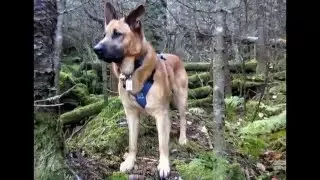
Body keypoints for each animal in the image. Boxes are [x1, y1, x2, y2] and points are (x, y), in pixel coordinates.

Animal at [92, 1, 188, 179]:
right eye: (104, 34)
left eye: (117, 34)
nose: (96, 49)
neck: (133, 70)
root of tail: (176, 57)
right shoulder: (131, 114)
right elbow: (132, 142)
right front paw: (130, 162)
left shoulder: (160, 114)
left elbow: (162, 144)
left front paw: (164, 164)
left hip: (181, 99)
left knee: (183, 119)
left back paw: (183, 138)